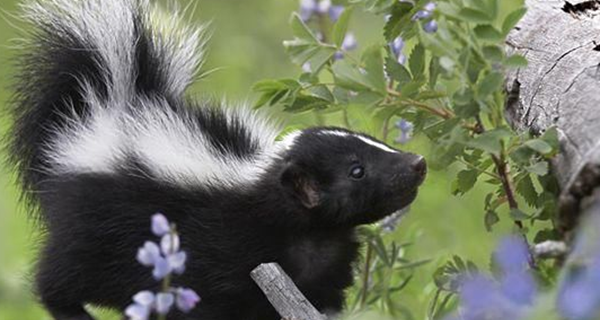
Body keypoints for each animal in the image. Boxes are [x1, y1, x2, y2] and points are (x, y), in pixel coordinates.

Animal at [4, 0, 426, 320]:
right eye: (357, 171)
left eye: (376, 143)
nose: (417, 162)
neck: (311, 235)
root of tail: (111, 104)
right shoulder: (221, 255)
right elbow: (210, 305)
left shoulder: (322, 274)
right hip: (91, 229)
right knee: (57, 277)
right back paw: (71, 311)